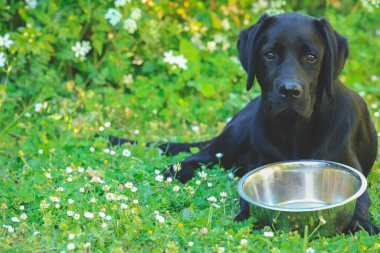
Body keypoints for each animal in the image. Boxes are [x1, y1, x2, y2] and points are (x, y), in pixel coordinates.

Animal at [111, 12, 378, 235]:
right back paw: (172, 172)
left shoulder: (350, 168)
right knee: (197, 157)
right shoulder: (259, 166)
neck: (294, 130)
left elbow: (360, 204)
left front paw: (363, 225)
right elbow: (247, 200)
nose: (289, 91)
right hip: (233, 136)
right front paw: (247, 218)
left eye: (311, 57)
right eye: (270, 54)